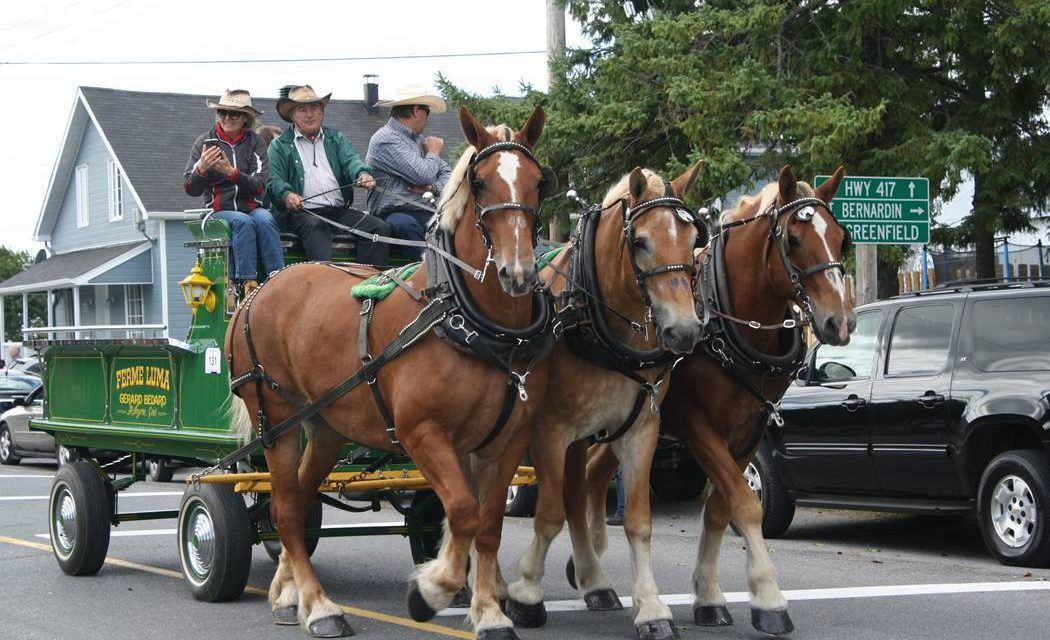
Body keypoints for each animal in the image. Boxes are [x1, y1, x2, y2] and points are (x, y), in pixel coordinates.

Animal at [226, 105, 558, 639]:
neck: (462, 318)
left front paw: (489, 611)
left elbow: (487, 524)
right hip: (276, 419)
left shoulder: (506, 438)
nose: (518, 272)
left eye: (539, 182)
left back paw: (289, 592)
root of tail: (258, 290)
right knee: (284, 509)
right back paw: (319, 606)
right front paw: (433, 588)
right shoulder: (422, 432)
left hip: (325, 426)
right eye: (480, 182)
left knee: (295, 500)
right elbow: (462, 512)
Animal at [502, 164, 705, 640]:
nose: (685, 331)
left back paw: (594, 582)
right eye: (640, 241)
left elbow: (637, 520)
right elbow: (548, 514)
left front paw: (651, 608)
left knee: (577, 498)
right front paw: (525, 594)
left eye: (694, 239)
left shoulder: (641, 429)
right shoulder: (549, 430)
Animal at [580, 165, 856, 636]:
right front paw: (769, 598)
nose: (840, 322)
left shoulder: (748, 430)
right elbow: (745, 505)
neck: (729, 324)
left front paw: (709, 596)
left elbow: (719, 509)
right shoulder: (694, 423)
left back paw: (593, 571)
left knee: (591, 476)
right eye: (793, 239)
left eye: (841, 238)